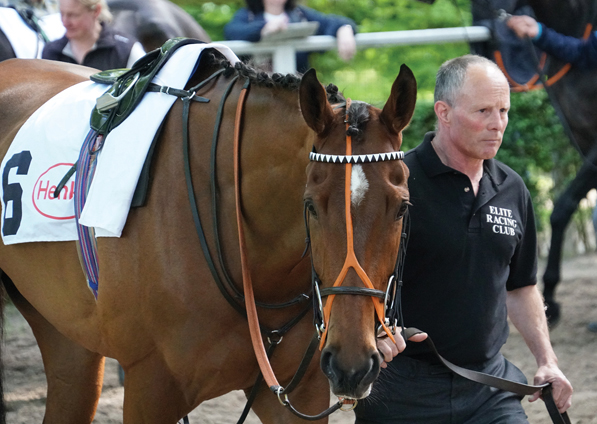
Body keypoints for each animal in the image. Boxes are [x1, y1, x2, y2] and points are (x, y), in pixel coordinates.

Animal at [0, 48, 414, 420]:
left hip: (67, 337)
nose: (352, 366)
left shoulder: (300, 392)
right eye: (311, 205)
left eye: (401, 208)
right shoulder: (150, 388)